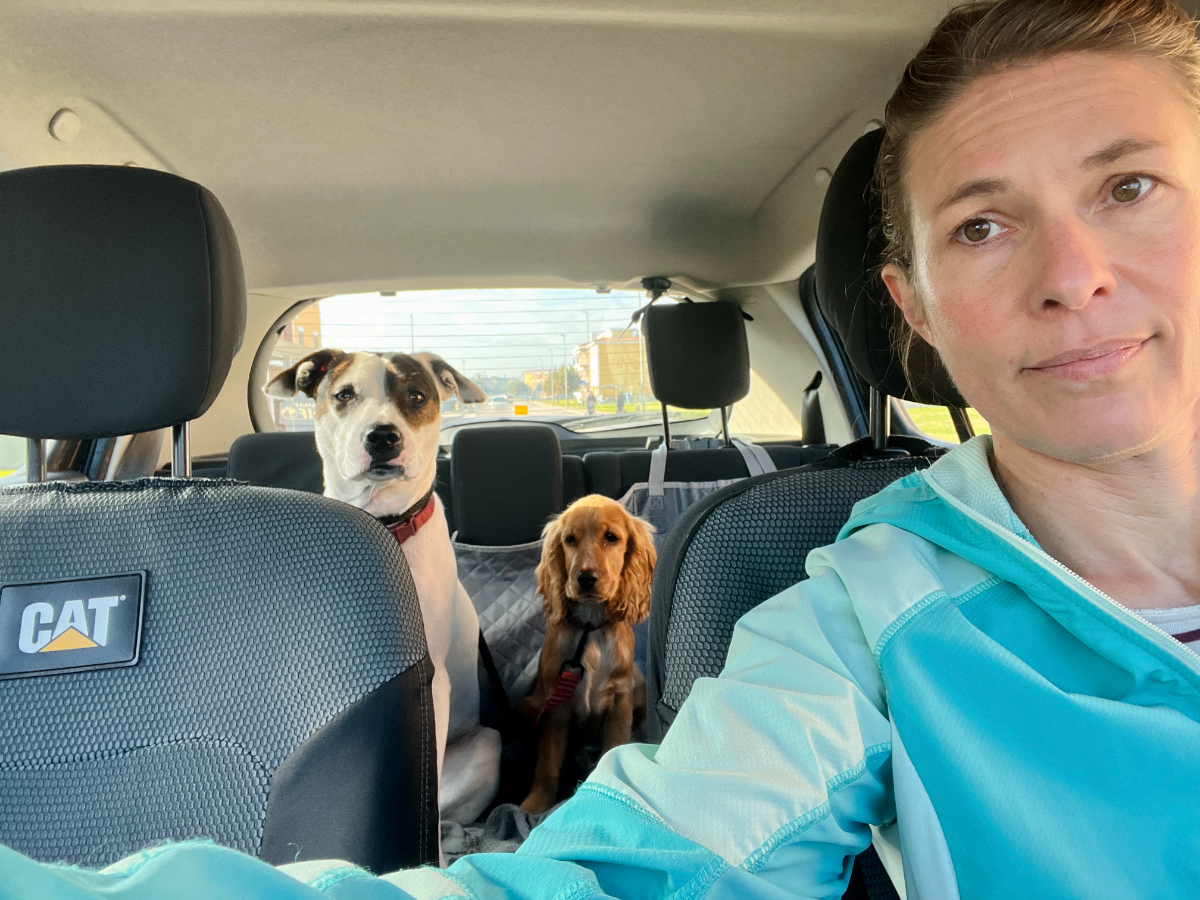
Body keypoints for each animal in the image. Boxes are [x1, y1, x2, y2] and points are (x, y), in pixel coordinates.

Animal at [266, 349, 500, 827]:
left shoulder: (432, 684)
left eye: (416, 395)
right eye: (344, 395)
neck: (382, 525)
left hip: (487, 747)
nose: (382, 437)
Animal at [518, 495, 656, 814]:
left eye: (611, 537)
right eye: (570, 540)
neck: (590, 628)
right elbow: (548, 762)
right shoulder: (557, 706)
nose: (586, 578)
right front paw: (534, 805)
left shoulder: (621, 699)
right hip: (529, 706)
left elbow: (614, 746)